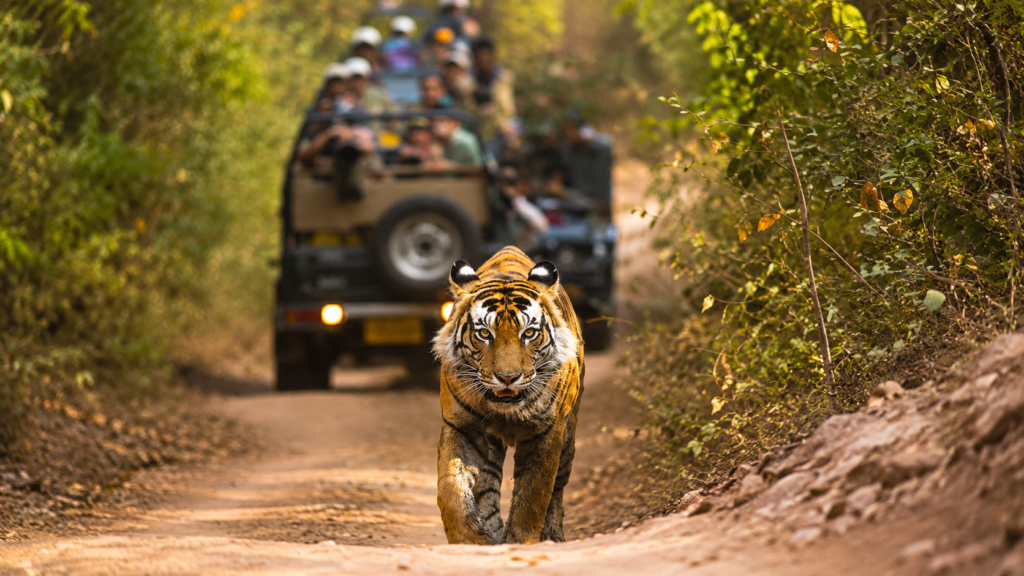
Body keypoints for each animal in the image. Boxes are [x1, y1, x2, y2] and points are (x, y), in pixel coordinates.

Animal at [432, 246, 584, 545]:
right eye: (484, 333)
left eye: (529, 333)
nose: (507, 377)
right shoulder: (460, 427)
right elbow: (451, 486)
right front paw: (468, 539)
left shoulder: (548, 433)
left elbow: (533, 495)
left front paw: (520, 541)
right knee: (488, 489)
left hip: (569, 439)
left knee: (557, 492)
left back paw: (553, 535)